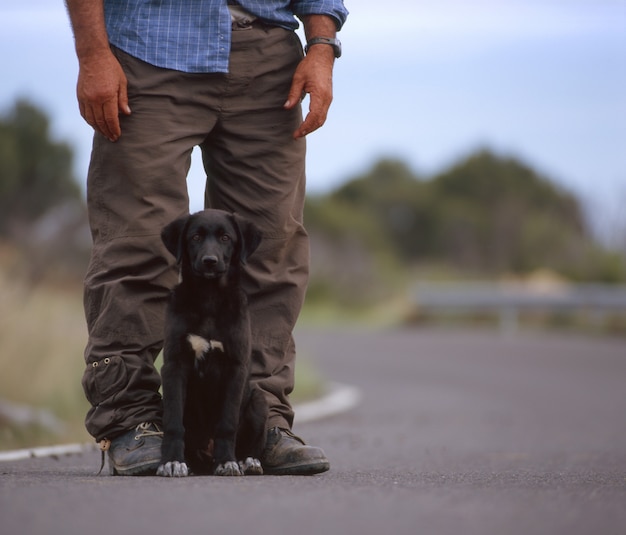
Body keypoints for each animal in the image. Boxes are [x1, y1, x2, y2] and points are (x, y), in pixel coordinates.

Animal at [157, 208, 266, 478]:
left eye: (226, 238)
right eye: (195, 237)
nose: (209, 261)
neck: (209, 297)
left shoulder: (235, 368)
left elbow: (227, 423)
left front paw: (226, 462)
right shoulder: (174, 366)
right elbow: (174, 422)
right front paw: (172, 461)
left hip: (260, 400)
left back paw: (249, 461)